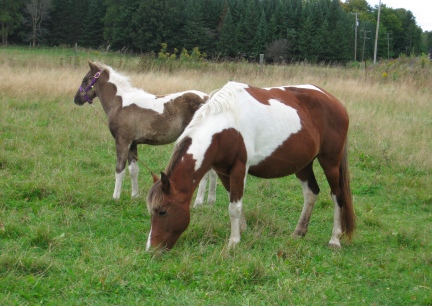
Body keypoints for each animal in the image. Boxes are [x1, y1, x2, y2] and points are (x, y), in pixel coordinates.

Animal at [145, 81, 354, 251]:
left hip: (330, 162)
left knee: (337, 196)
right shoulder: (223, 171)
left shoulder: (239, 168)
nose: (152, 248)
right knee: (311, 192)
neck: (225, 126)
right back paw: (298, 232)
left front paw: (233, 242)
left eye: (162, 211)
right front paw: (242, 231)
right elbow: (234, 200)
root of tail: (333, 100)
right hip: (303, 164)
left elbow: (234, 207)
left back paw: (335, 239)